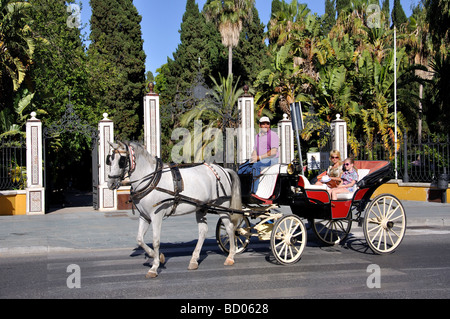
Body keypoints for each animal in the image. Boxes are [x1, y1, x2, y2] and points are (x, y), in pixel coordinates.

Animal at [106, 141, 243, 278]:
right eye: (110, 159)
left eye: (122, 160)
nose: (110, 183)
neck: (151, 179)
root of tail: (223, 169)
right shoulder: (144, 216)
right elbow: (139, 239)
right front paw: (157, 256)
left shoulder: (156, 216)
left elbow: (156, 241)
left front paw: (154, 267)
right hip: (201, 207)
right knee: (203, 231)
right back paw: (194, 260)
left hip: (222, 206)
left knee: (230, 228)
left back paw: (230, 256)